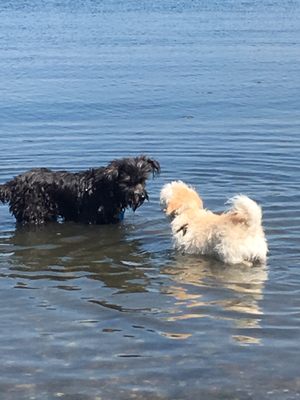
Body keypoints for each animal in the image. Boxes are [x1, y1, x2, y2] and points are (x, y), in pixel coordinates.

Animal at [0, 155, 159, 225]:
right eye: (127, 183)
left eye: (142, 181)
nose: (141, 196)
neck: (108, 190)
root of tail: (14, 182)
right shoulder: (91, 218)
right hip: (34, 212)